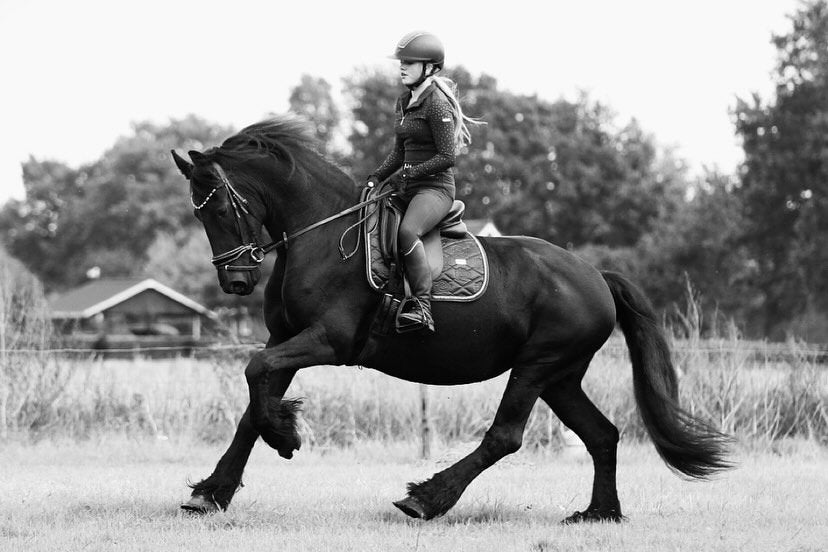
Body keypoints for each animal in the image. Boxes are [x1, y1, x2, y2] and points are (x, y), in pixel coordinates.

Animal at [170, 116, 730, 523]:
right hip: (561, 376)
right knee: (602, 435)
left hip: (538, 366)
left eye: (218, 207)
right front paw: (213, 492)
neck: (320, 235)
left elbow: (255, 374)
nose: (235, 281)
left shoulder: (327, 340)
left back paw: (426, 498)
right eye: (198, 213)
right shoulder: (285, 337)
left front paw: (285, 436)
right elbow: (253, 402)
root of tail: (595, 275)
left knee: (506, 436)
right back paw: (599, 514)